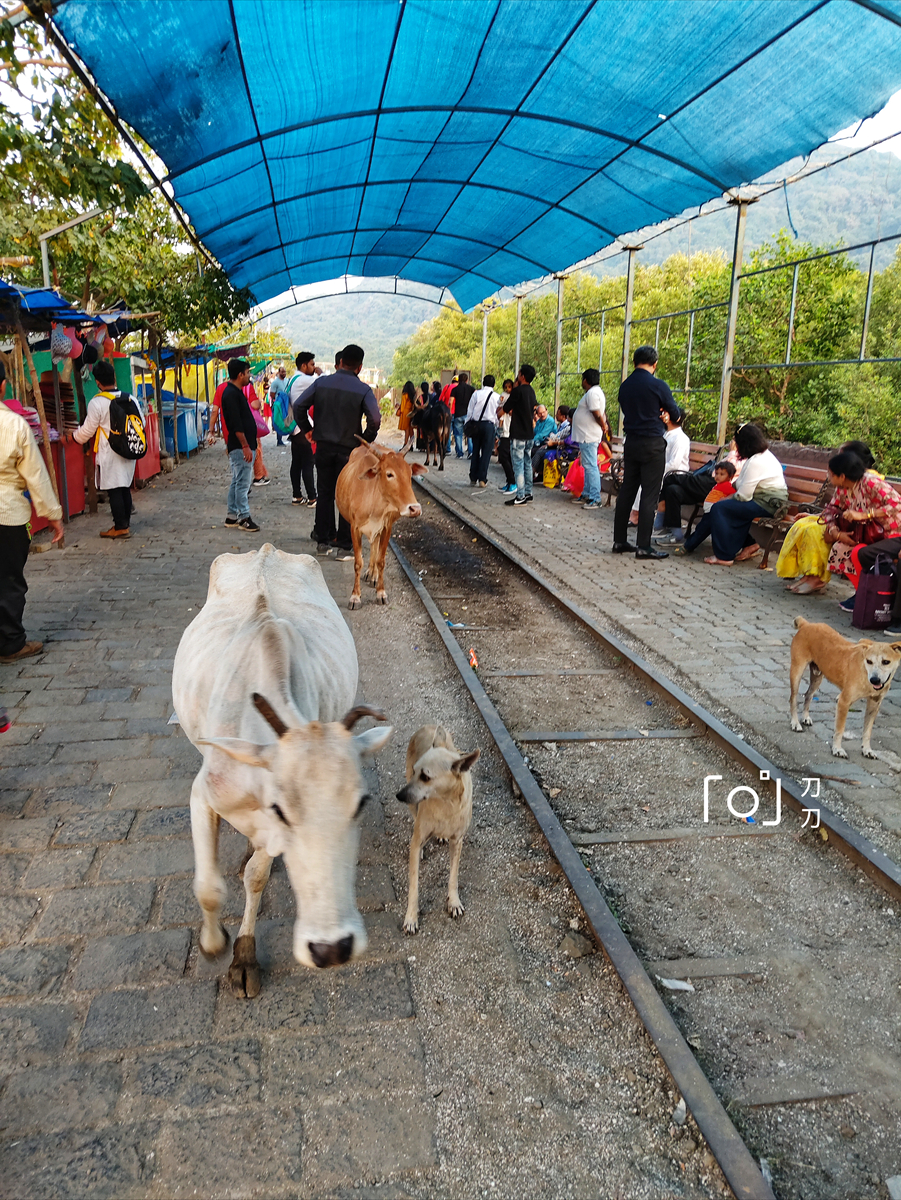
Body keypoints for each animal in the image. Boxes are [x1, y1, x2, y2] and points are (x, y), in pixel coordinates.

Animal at [172, 544, 391, 993]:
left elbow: (256, 876)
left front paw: (244, 955)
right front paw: (213, 943)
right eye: (280, 809)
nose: (331, 948)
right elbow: (208, 888)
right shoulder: (203, 795)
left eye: (361, 804)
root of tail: (265, 548)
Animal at [338, 441, 427, 609]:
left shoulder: (387, 527)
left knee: (375, 545)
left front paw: (381, 593)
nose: (415, 509)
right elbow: (358, 562)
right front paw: (355, 596)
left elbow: (381, 561)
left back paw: (372, 575)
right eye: (389, 474)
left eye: (409, 473)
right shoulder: (355, 528)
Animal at [393, 724, 479, 931]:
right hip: (412, 804)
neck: (445, 803)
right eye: (416, 771)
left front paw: (453, 902)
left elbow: (453, 877)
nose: (399, 795)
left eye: (426, 776)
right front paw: (411, 917)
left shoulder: (457, 842)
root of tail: (428, 726)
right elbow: (414, 886)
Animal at [787, 619, 901, 758]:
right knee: (793, 698)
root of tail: (806, 624)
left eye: (886, 662)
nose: (875, 680)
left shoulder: (874, 704)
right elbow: (839, 730)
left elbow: (867, 731)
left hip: (817, 676)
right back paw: (795, 723)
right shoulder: (843, 702)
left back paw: (805, 717)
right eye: (869, 661)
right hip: (796, 671)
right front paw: (837, 749)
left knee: (808, 694)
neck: (865, 673)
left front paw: (867, 749)